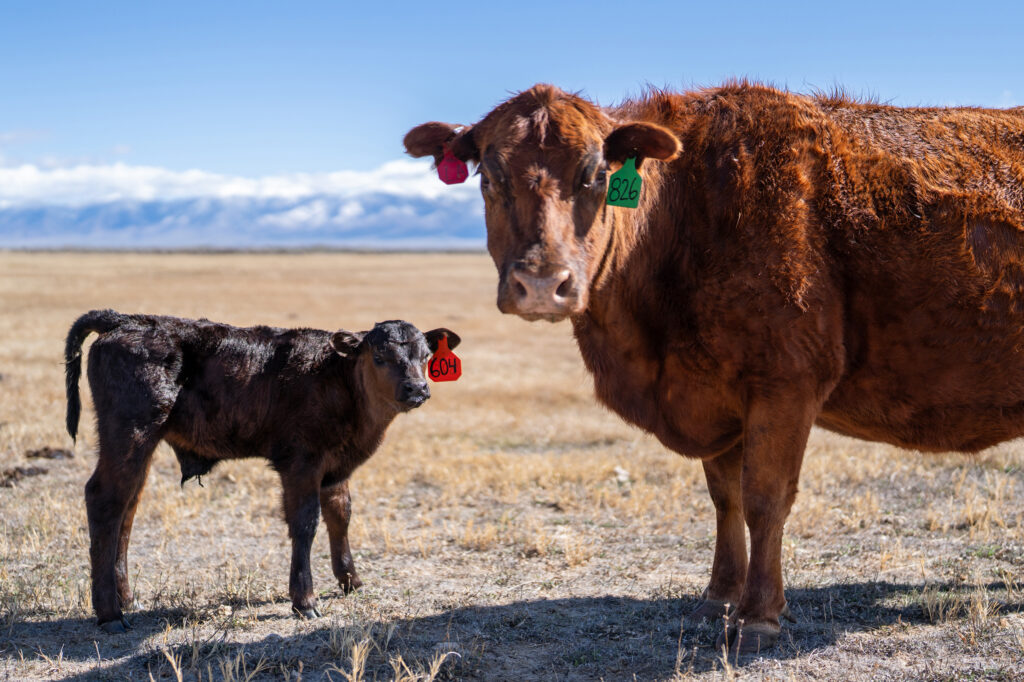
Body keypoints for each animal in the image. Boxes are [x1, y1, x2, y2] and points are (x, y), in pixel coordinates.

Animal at [64, 309, 460, 633]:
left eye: (425, 356)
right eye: (379, 356)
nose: (417, 389)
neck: (334, 377)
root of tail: (125, 320)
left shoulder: (337, 469)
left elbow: (340, 515)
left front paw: (351, 581)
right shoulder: (301, 463)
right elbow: (305, 524)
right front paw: (305, 601)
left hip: (140, 449)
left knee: (126, 512)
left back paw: (127, 598)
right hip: (130, 435)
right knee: (104, 501)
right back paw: (110, 614)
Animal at [405, 83, 1024, 652]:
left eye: (596, 175)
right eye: (488, 177)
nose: (539, 284)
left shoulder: (784, 383)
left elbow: (765, 499)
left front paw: (759, 616)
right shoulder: (713, 393)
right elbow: (726, 499)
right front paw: (718, 598)